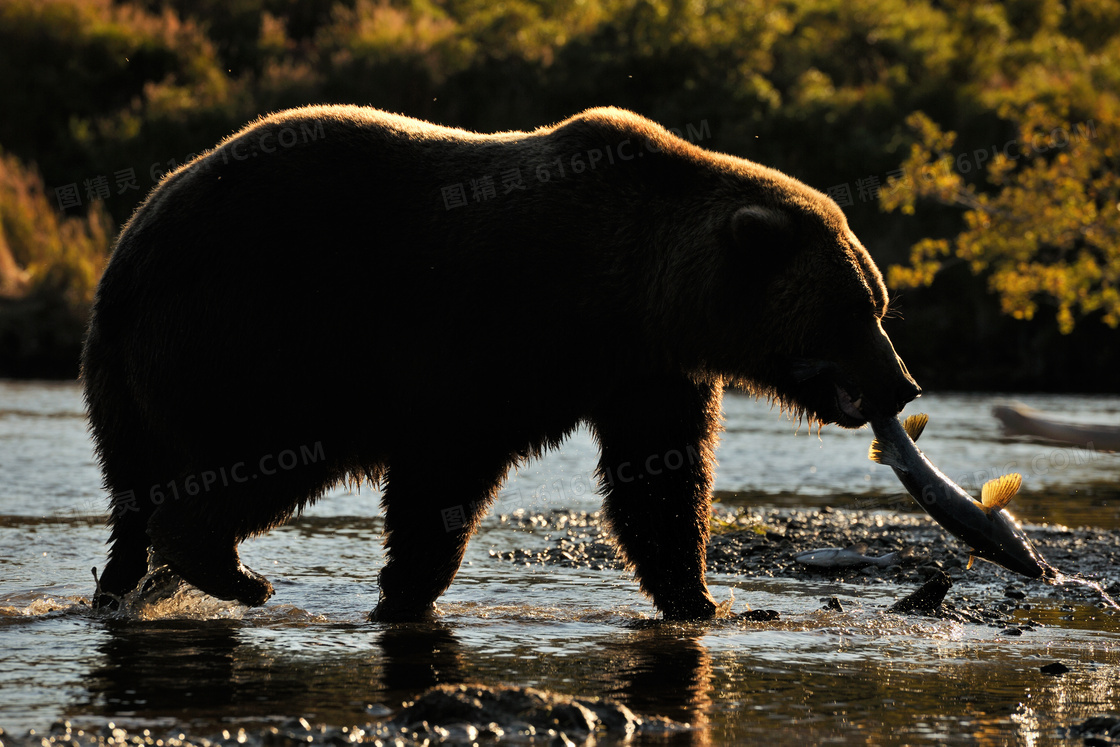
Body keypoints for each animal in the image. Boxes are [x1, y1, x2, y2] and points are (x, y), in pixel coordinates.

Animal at [85, 103, 918, 618]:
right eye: (854, 309)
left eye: (878, 305)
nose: (902, 385)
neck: (635, 291)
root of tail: (129, 249)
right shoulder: (497, 332)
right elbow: (446, 471)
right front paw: (404, 589)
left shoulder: (645, 371)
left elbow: (660, 477)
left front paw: (700, 596)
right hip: (256, 333)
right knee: (256, 455)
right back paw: (236, 574)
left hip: (130, 379)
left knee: (132, 493)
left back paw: (123, 586)